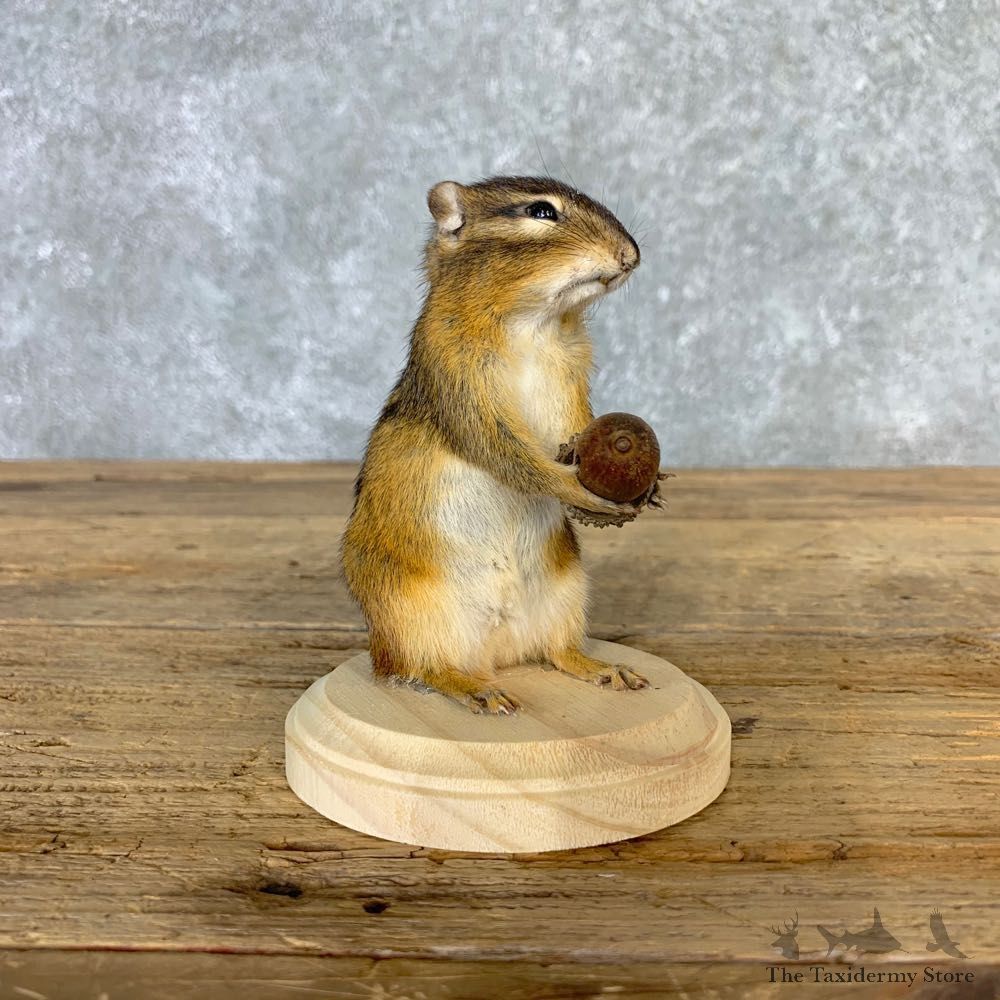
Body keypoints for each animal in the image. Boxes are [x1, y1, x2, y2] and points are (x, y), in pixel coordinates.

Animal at [341, 176, 650, 714]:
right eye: (541, 212)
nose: (631, 254)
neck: (533, 324)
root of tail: (500, 654)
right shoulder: (461, 382)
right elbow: (506, 452)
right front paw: (578, 491)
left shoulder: (571, 386)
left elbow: (577, 428)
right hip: (408, 617)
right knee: (416, 669)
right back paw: (476, 690)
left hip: (568, 593)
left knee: (558, 653)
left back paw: (605, 669)